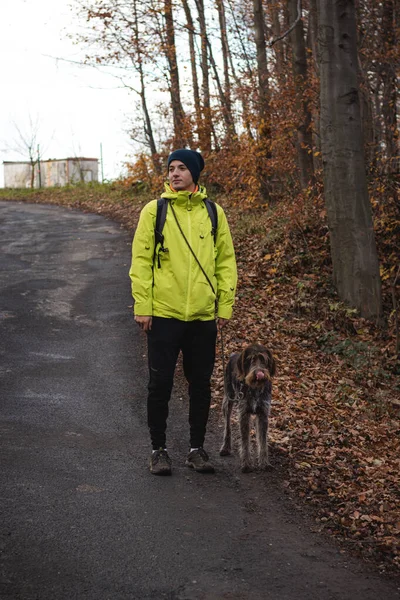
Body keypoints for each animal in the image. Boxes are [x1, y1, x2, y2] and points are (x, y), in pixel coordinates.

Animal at [219, 344, 276, 472]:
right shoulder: (244, 414)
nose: (259, 373)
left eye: (263, 360)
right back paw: (225, 447)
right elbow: (245, 442)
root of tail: (233, 355)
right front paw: (246, 464)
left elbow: (263, 441)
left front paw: (264, 463)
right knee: (227, 426)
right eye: (251, 360)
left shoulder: (263, 414)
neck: (255, 388)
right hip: (228, 400)